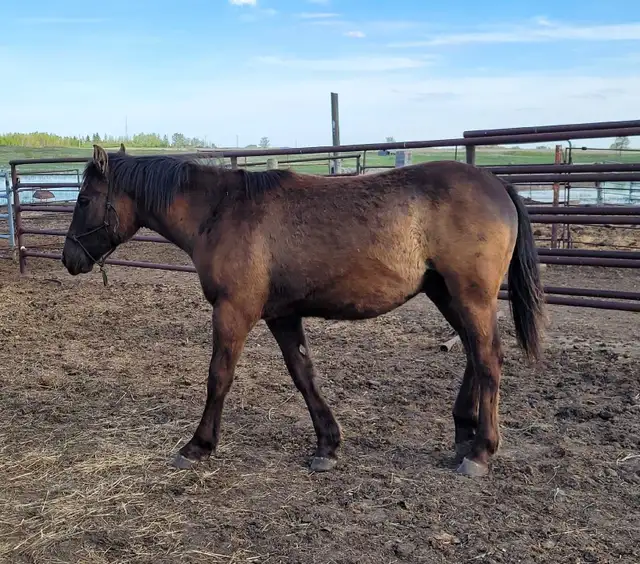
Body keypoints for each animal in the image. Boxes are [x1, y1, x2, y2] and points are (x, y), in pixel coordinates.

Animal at [61, 144, 545, 478]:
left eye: (83, 200)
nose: (70, 258)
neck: (221, 212)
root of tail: (495, 183)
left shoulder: (234, 312)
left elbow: (219, 377)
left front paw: (198, 445)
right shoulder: (281, 315)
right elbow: (303, 374)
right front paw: (327, 445)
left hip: (470, 295)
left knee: (488, 358)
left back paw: (480, 451)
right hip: (447, 294)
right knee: (473, 354)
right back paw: (464, 436)